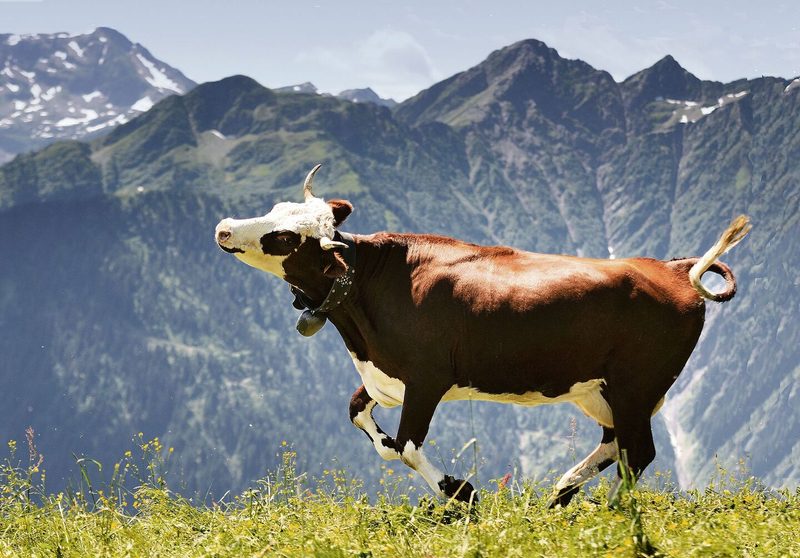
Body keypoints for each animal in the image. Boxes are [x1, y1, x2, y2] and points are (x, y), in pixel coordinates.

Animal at [215, 164, 750, 506]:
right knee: (616, 443)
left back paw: (614, 510)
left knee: (638, 453)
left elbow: (407, 446)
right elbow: (365, 422)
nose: (223, 227)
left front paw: (463, 493)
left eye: (285, 238)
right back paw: (561, 493)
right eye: (276, 208)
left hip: (636, 385)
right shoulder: (384, 378)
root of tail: (673, 267)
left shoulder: (427, 378)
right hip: (600, 390)